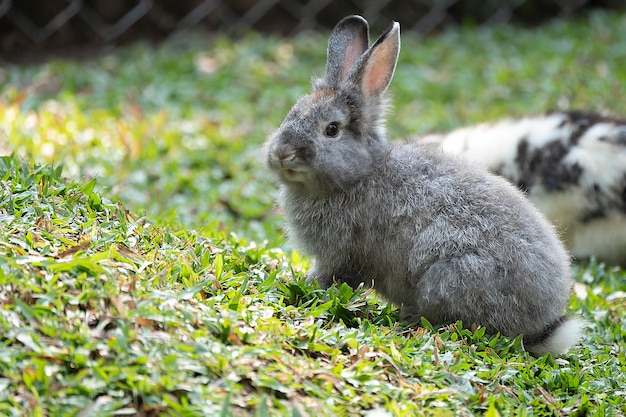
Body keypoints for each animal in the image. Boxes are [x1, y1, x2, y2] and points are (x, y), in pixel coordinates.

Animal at [262, 15, 580, 354]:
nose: (280, 153)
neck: (360, 174)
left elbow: (333, 277)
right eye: (291, 113)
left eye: (331, 129)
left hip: (447, 278)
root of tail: (543, 326)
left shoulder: (345, 256)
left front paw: (303, 287)